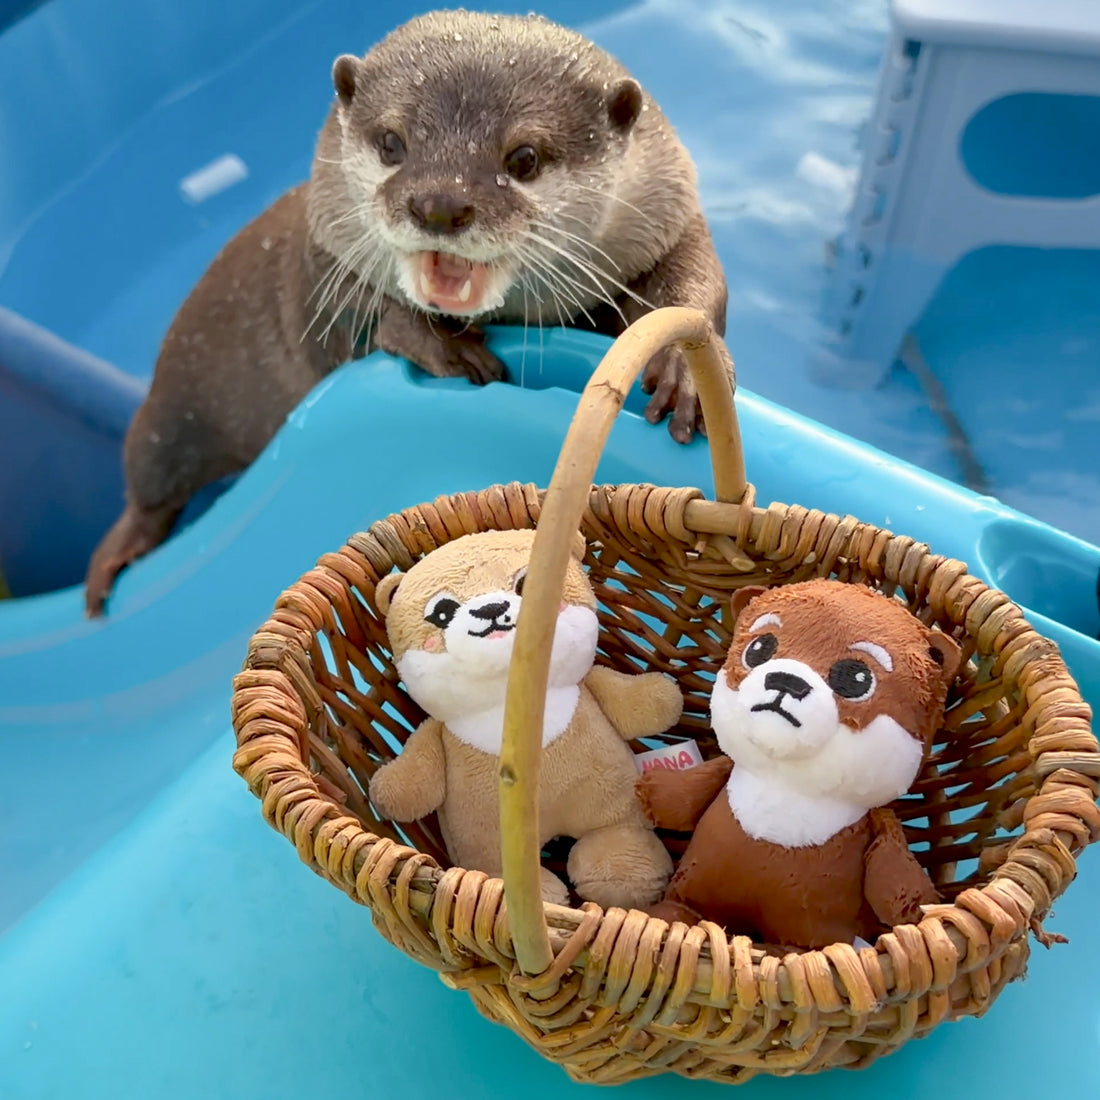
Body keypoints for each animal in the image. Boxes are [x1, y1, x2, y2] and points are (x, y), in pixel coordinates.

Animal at [84, 9, 731, 615]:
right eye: (392, 143)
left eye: (524, 157)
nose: (439, 203)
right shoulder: (318, 264)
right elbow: (354, 320)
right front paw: (443, 346)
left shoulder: (669, 217)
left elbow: (696, 284)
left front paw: (684, 372)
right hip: (169, 417)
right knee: (148, 484)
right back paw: (114, 559)